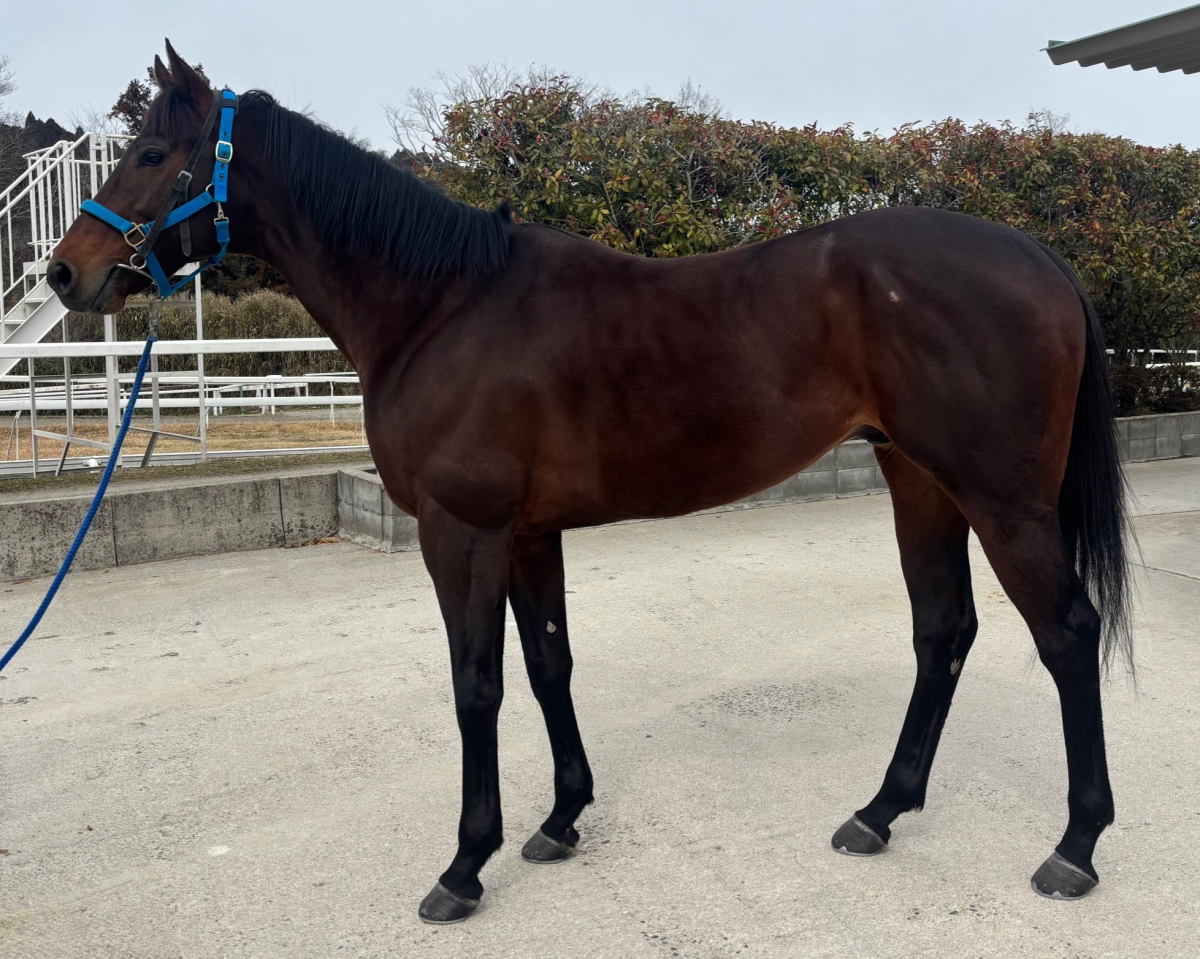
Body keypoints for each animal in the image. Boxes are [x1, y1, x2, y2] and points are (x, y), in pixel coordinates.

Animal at [48, 44, 1132, 924]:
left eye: (152, 152)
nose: (65, 273)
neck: (441, 305)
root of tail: (1038, 255)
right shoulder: (530, 534)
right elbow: (547, 666)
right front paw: (562, 817)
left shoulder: (464, 530)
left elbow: (476, 683)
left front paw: (464, 864)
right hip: (919, 481)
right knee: (942, 631)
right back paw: (879, 811)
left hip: (1002, 501)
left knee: (1066, 634)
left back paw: (1075, 847)